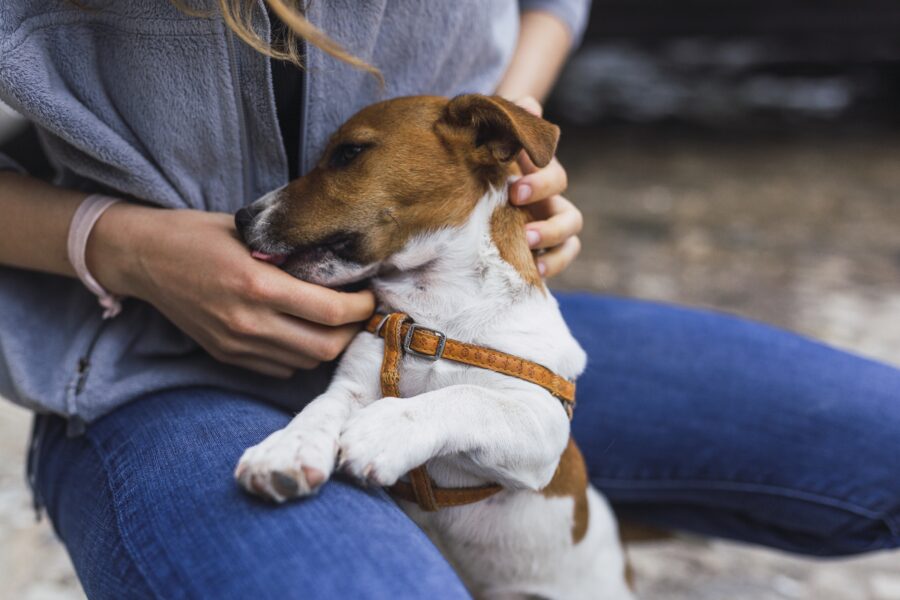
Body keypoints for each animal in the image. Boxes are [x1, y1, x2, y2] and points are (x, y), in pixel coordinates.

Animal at [234, 95, 632, 600]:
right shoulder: (354, 385)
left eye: (348, 153)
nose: (240, 217)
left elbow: (467, 396)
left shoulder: (541, 424)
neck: (438, 310)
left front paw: (385, 429)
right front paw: (287, 448)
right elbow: (320, 408)